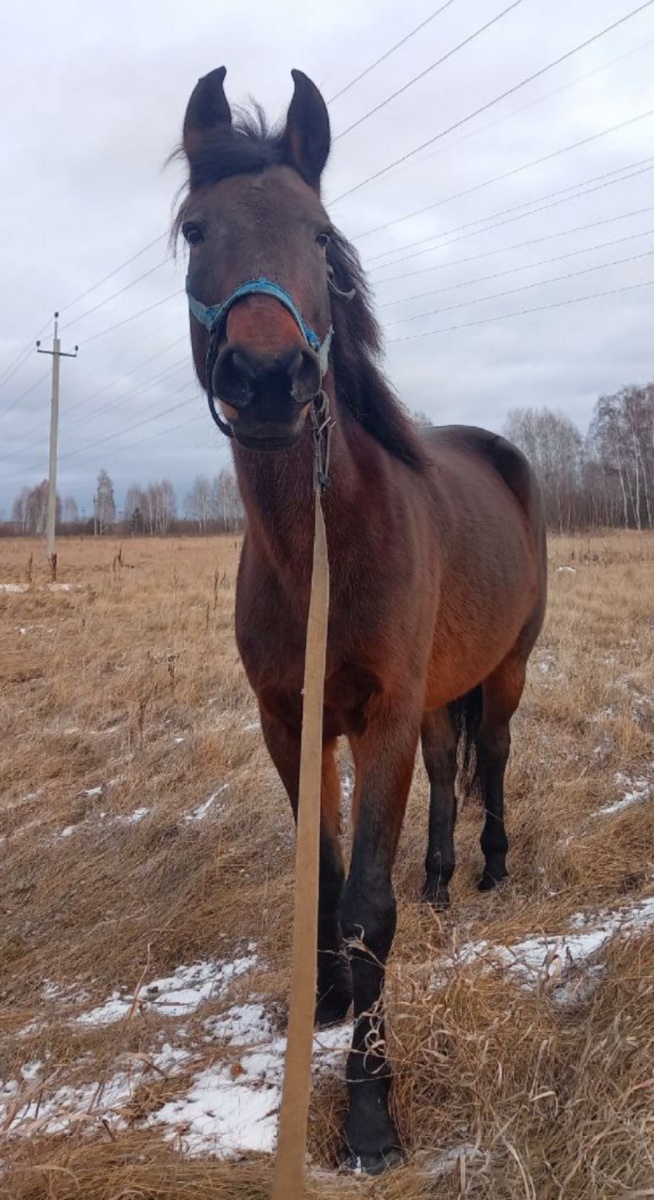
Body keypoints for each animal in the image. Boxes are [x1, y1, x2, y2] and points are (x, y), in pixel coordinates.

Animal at [176, 66, 547, 1175]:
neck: (324, 546)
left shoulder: (375, 717)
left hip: (506, 669)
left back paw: (491, 869)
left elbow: (363, 909)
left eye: (320, 234)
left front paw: (370, 1112)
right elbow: (325, 877)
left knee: (491, 758)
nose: (265, 378)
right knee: (445, 768)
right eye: (195, 228)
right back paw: (439, 880)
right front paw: (329, 1004)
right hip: (435, 692)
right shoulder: (292, 721)